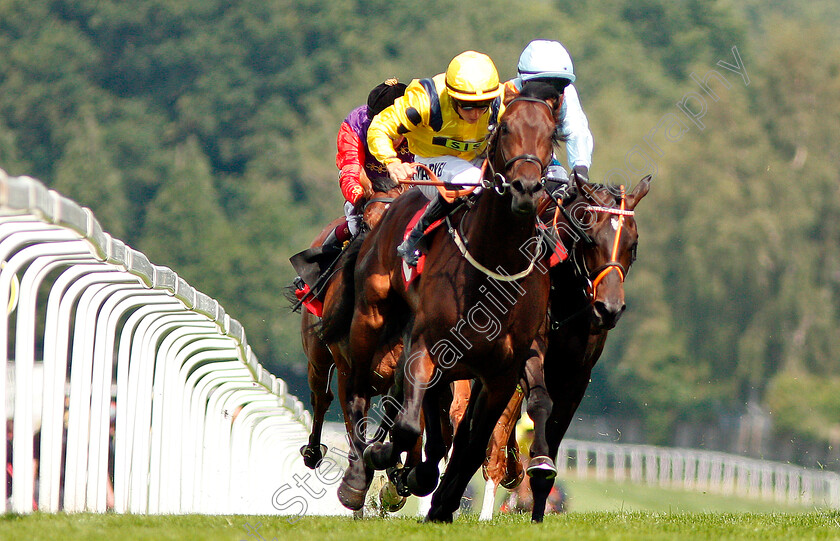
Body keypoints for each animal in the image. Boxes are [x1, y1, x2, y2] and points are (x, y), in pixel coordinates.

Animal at [324, 81, 560, 520]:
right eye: (505, 130)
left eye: (552, 134)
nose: (526, 189)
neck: (492, 267)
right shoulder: (426, 345)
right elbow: (408, 426)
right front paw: (393, 470)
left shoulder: (502, 374)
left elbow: (473, 442)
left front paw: (441, 499)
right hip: (369, 318)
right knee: (358, 396)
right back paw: (359, 477)